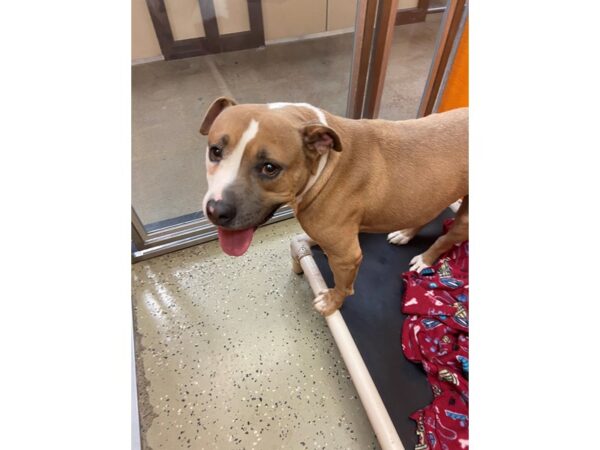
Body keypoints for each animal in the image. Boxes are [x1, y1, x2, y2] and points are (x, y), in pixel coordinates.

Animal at [199, 98, 466, 316]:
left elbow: (343, 286)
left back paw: (425, 259)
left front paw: (331, 303)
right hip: (429, 196)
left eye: (269, 167)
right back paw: (405, 233)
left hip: (465, 219)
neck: (324, 165)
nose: (216, 211)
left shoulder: (348, 256)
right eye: (215, 151)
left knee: (446, 238)